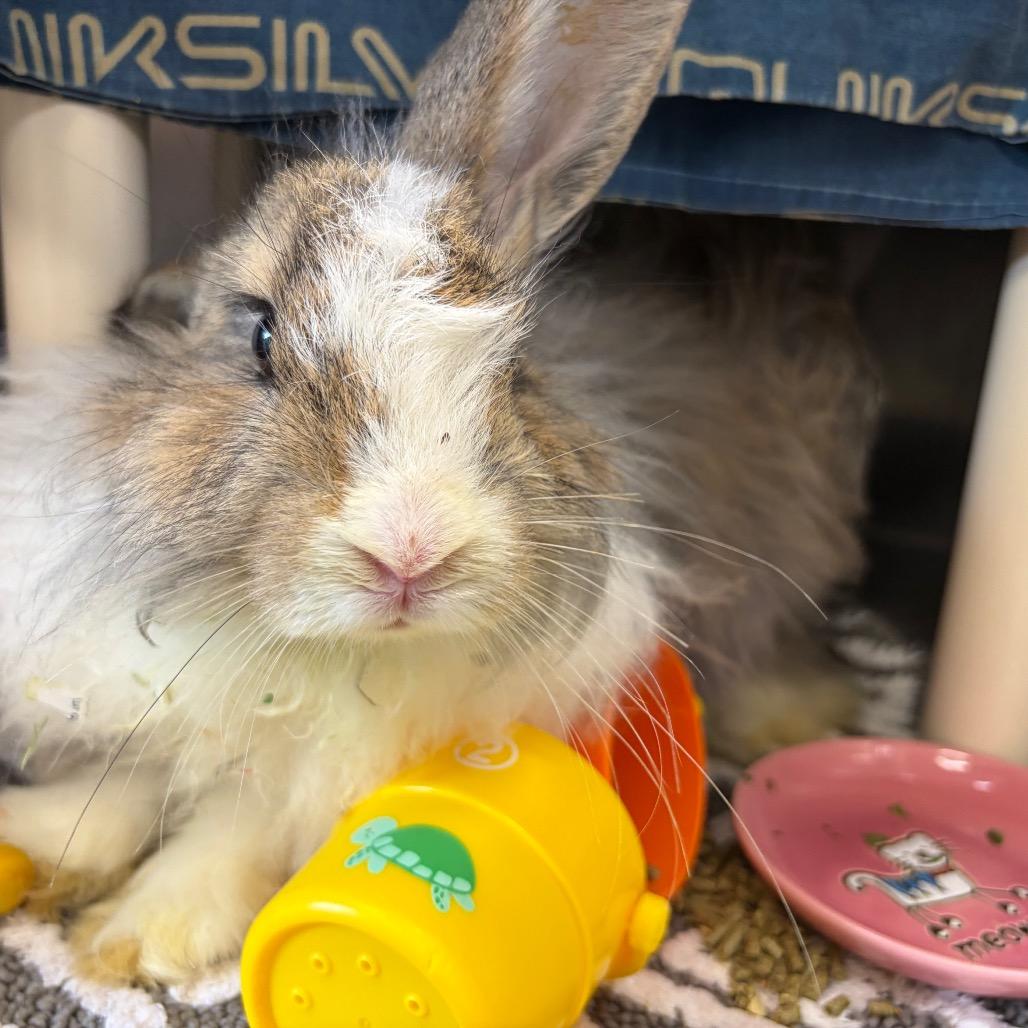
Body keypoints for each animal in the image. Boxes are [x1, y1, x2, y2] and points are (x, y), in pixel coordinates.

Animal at [0, 0, 874, 986]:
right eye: (258, 335)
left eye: (516, 370)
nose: (410, 552)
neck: (321, 659)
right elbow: (133, 781)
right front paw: (38, 835)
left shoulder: (310, 773)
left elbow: (231, 826)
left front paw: (136, 933)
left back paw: (791, 716)